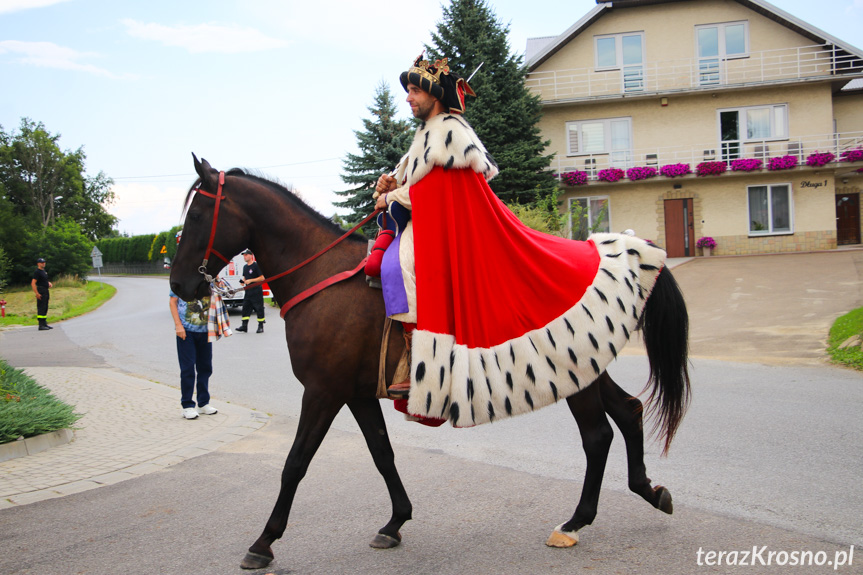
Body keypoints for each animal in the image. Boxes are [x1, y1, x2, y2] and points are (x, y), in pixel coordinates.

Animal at [169, 154, 692, 572]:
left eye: (196, 214)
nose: (179, 285)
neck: (322, 275)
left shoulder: (322, 392)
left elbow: (295, 463)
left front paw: (264, 542)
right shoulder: (356, 393)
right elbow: (382, 453)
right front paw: (395, 521)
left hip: (573, 372)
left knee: (598, 434)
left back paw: (576, 521)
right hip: (584, 366)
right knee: (628, 412)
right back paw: (649, 491)